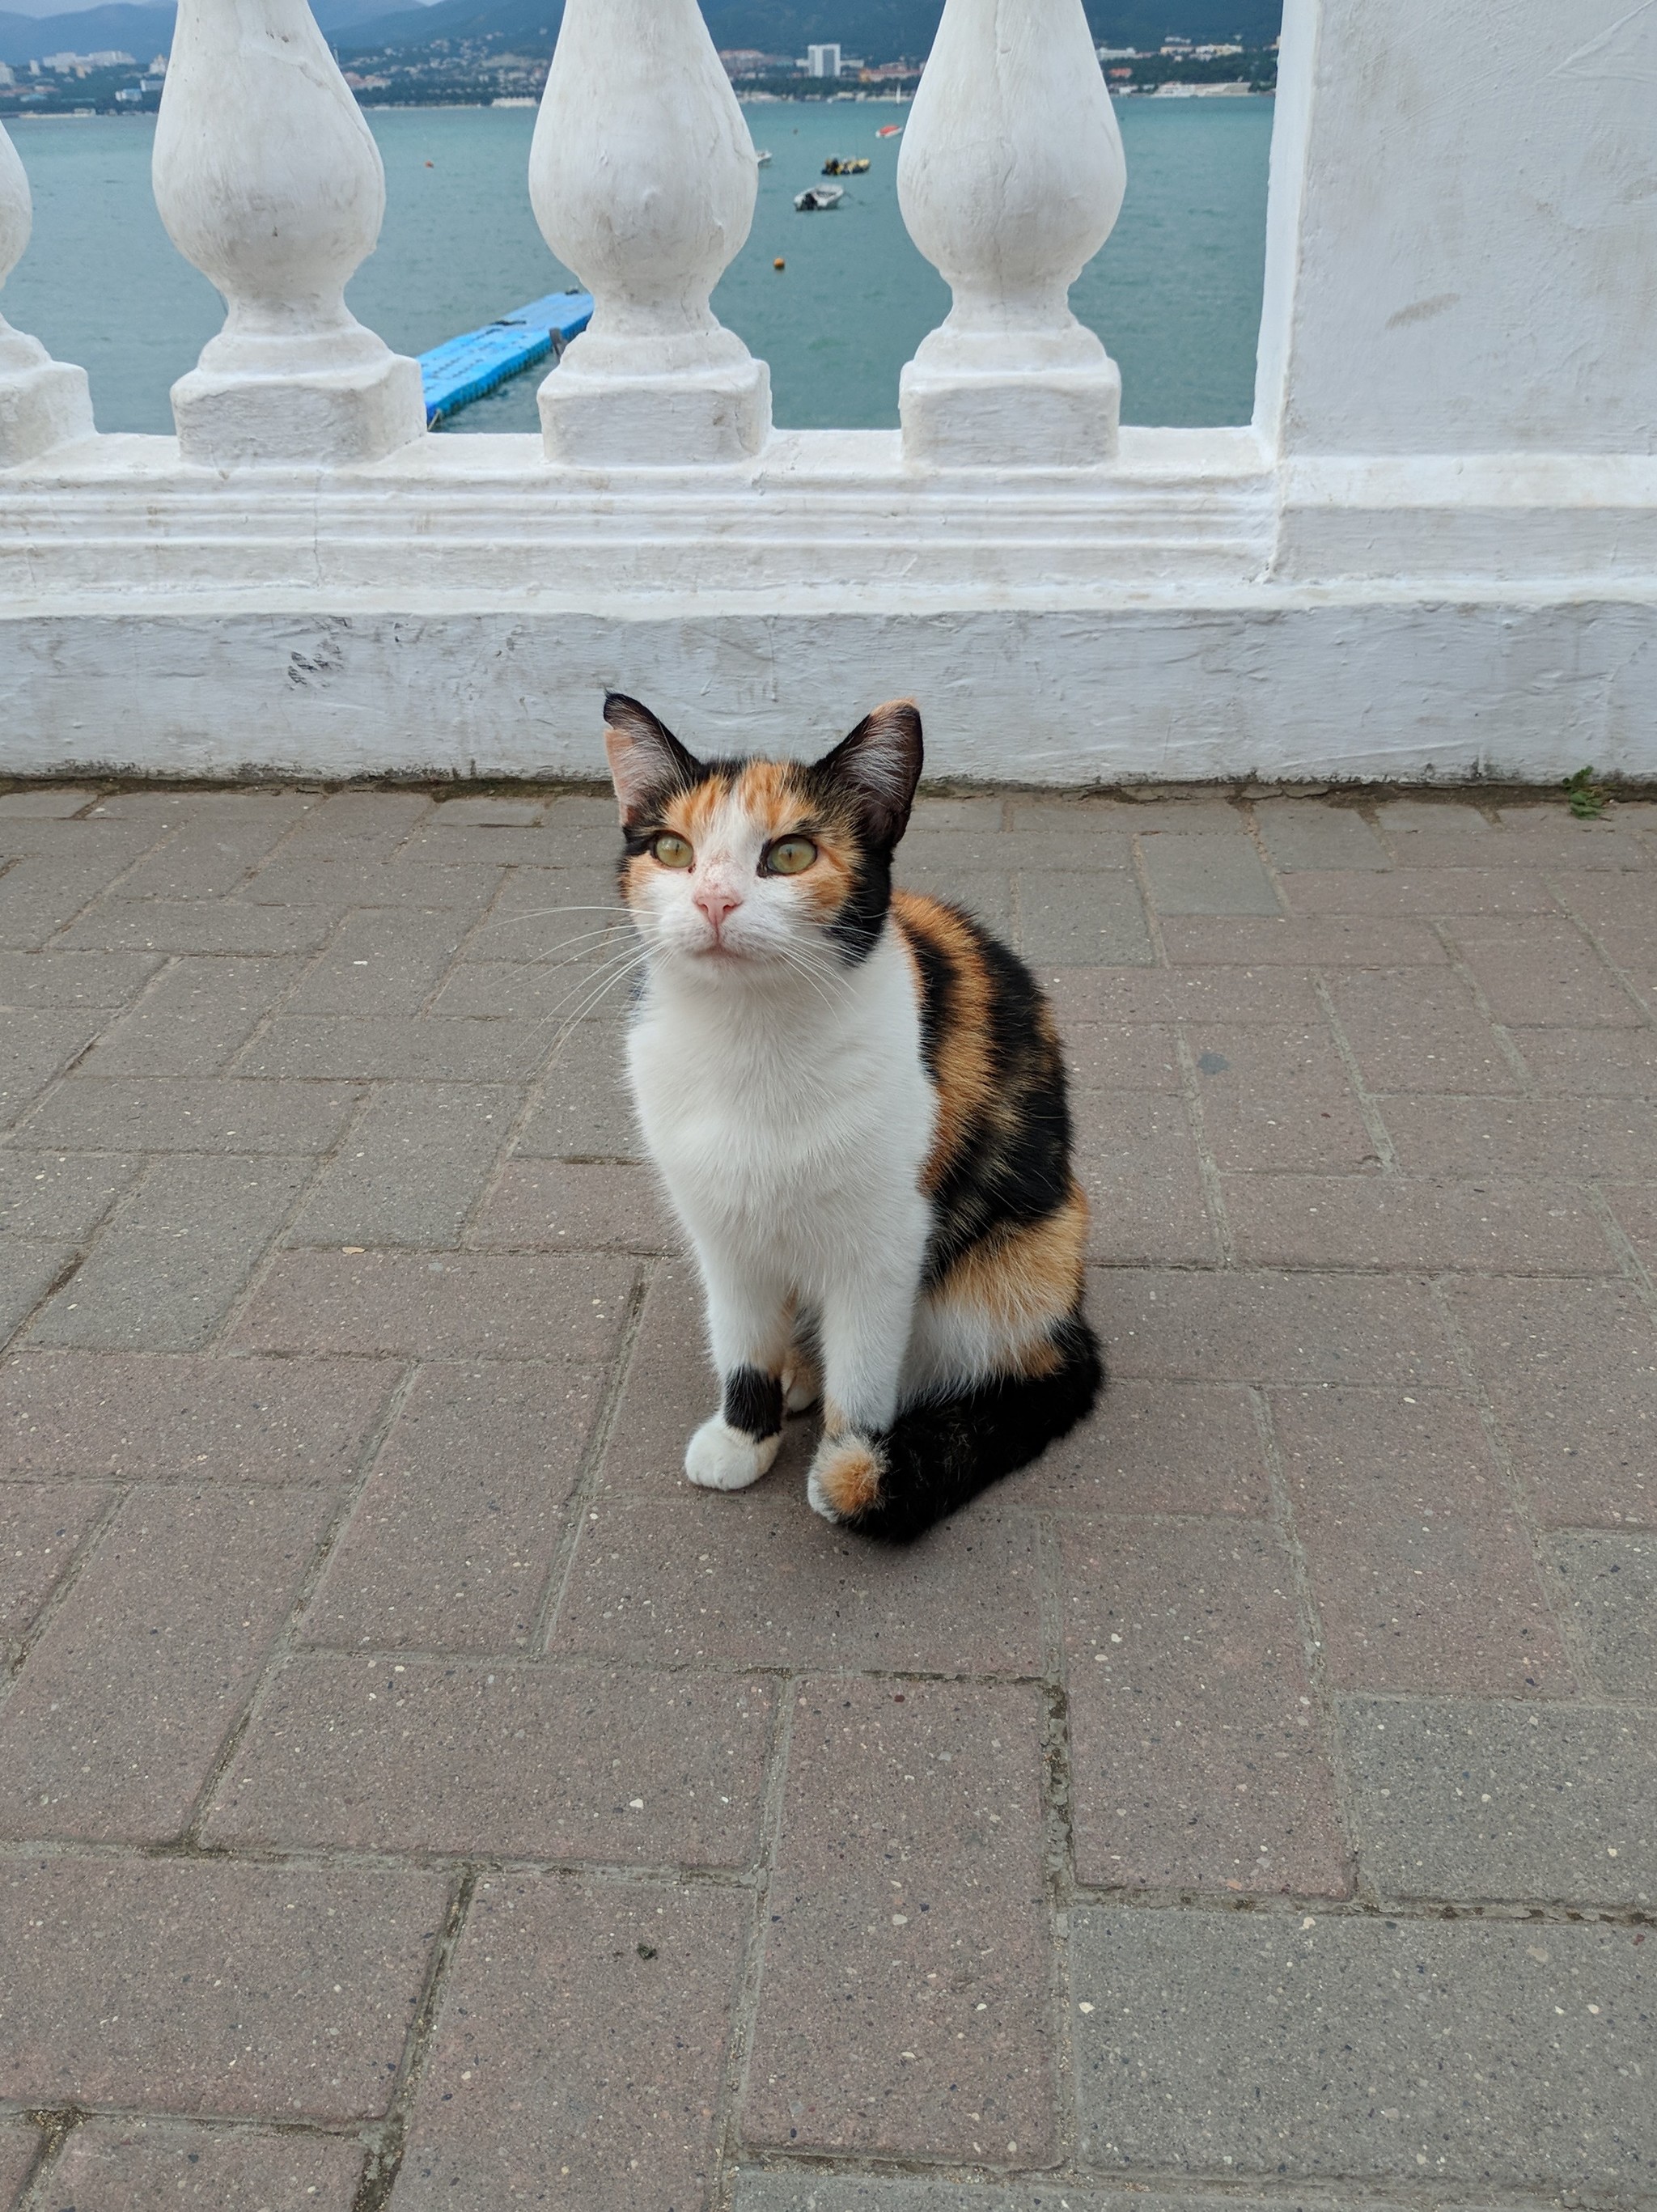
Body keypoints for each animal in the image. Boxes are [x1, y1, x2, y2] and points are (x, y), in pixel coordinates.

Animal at [606, 694, 1097, 1539]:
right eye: (671, 849)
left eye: (791, 855)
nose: (713, 901)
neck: (751, 1041)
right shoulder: (720, 1229)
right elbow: (740, 1337)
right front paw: (744, 1435)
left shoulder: (886, 1242)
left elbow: (865, 1370)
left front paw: (847, 1462)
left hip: (1018, 1266)